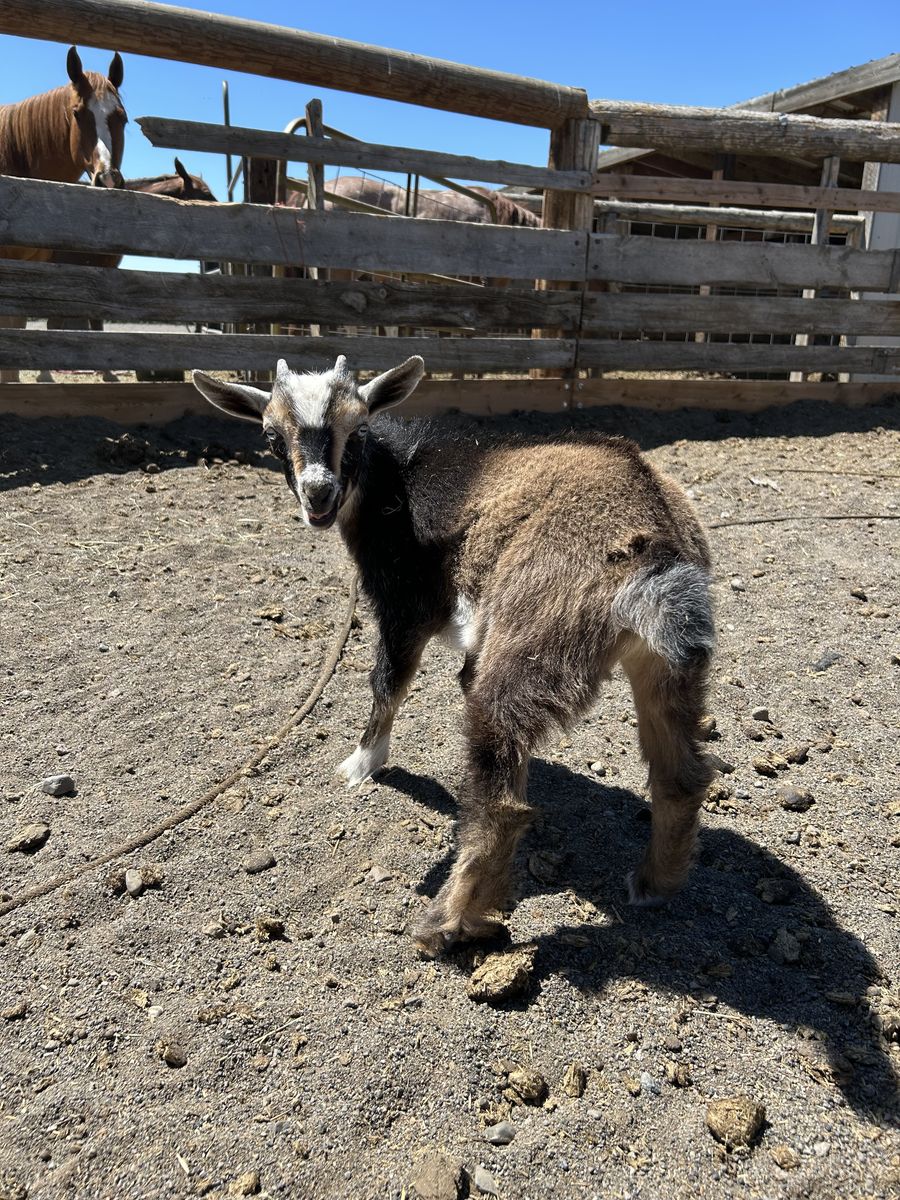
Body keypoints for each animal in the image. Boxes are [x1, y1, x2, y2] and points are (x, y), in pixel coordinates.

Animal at [191, 356, 716, 957]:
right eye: (272, 437)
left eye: (358, 429)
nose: (319, 495)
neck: (394, 481)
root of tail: (656, 554)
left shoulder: (406, 605)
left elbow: (388, 682)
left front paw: (361, 765)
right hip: (667, 663)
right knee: (680, 774)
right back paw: (655, 883)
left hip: (532, 640)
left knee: (500, 799)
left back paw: (447, 924)